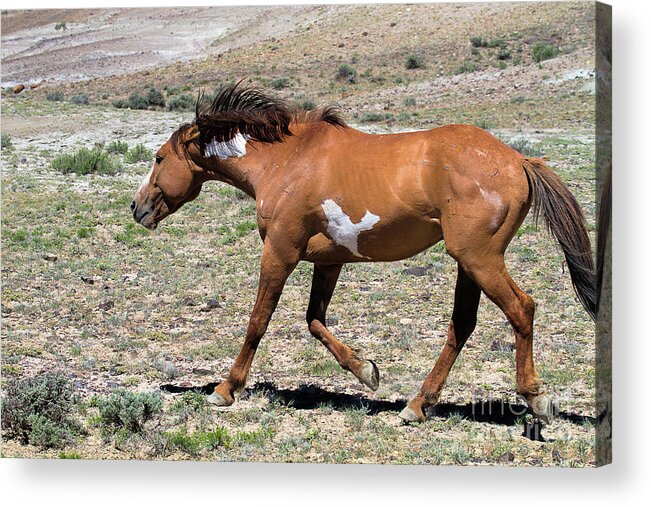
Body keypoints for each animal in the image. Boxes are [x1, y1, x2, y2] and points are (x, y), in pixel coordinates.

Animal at [131, 84, 596, 424]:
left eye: (158, 158)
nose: (138, 208)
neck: (285, 160)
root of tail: (519, 159)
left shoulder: (279, 251)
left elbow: (258, 321)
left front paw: (225, 390)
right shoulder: (328, 260)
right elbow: (315, 320)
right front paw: (366, 371)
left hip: (481, 259)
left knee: (522, 308)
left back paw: (535, 399)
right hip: (468, 263)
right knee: (462, 325)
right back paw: (418, 405)